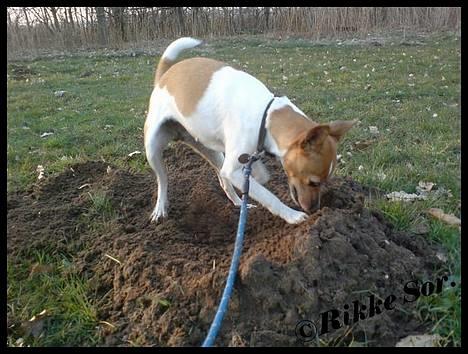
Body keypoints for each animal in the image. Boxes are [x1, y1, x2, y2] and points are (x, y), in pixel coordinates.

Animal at [144, 36, 354, 224]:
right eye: (313, 182)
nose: (314, 210)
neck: (265, 116)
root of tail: (164, 75)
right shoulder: (234, 170)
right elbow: (268, 196)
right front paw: (292, 216)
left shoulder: (242, 160)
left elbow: (260, 178)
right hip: (153, 149)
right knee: (163, 180)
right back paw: (160, 208)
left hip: (211, 151)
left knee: (223, 180)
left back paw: (239, 203)